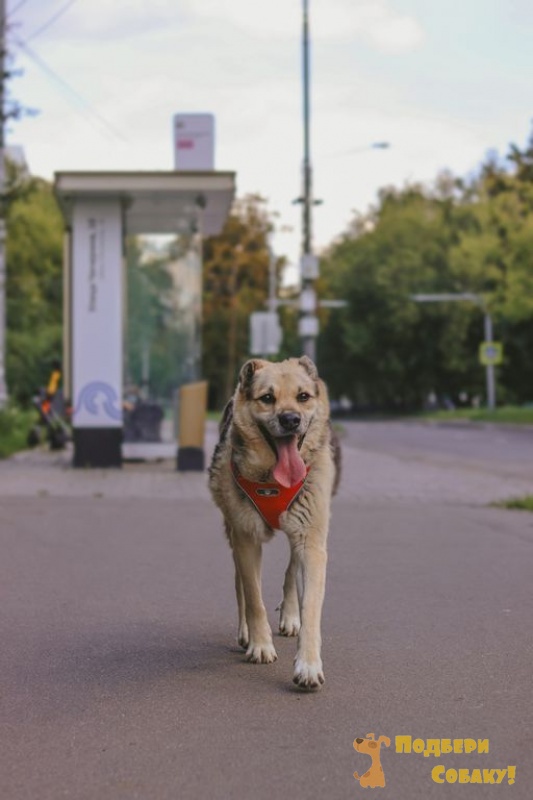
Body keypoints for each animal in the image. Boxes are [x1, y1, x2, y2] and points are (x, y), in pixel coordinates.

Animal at [208, 356, 340, 688]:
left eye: (303, 396)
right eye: (267, 398)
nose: (290, 420)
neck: (273, 481)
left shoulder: (312, 542)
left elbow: (311, 606)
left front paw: (308, 664)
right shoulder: (245, 538)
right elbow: (254, 596)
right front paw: (260, 645)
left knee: (291, 568)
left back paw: (290, 616)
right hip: (233, 531)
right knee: (241, 584)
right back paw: (245, 632)